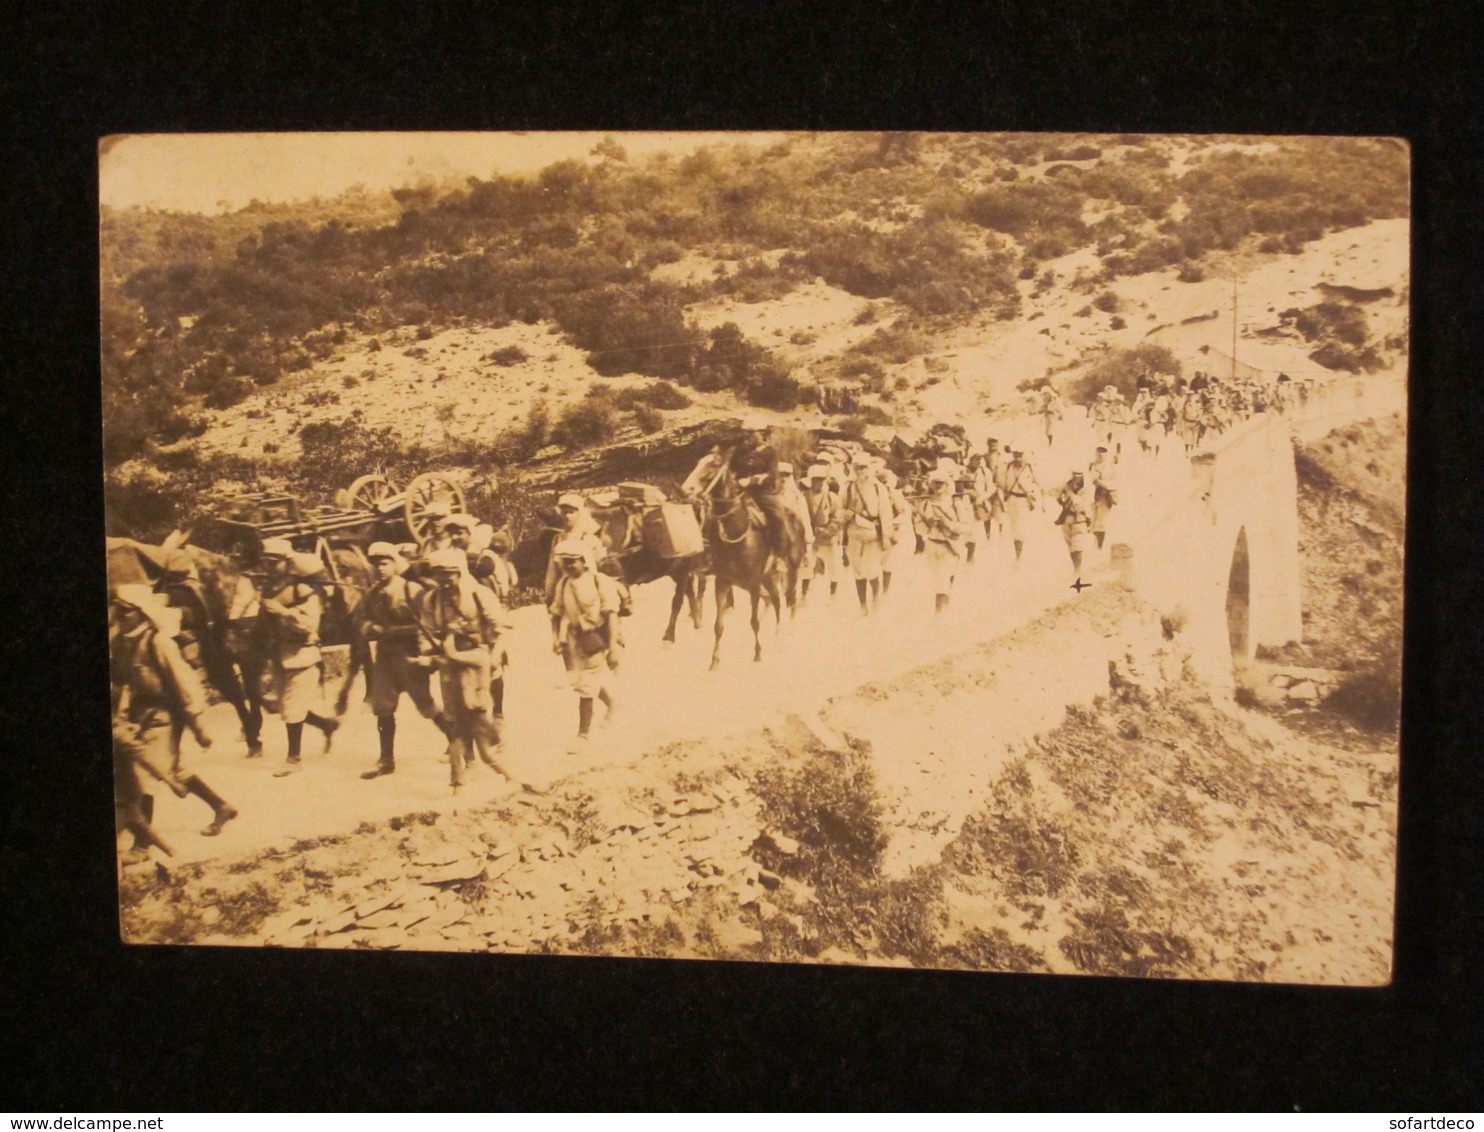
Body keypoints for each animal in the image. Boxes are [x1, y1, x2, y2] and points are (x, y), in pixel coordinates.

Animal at [679, 445, 801, 673]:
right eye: (698, 462)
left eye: (714, 464)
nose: (686, 489)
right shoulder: (722, 582)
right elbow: (718, 626)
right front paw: (714, 660)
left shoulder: (753, 585)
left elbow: (753, 622)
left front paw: (758, 654)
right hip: (767, 579)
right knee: (775, 600)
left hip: (791, 571)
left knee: (789, 600)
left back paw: (783, 635)